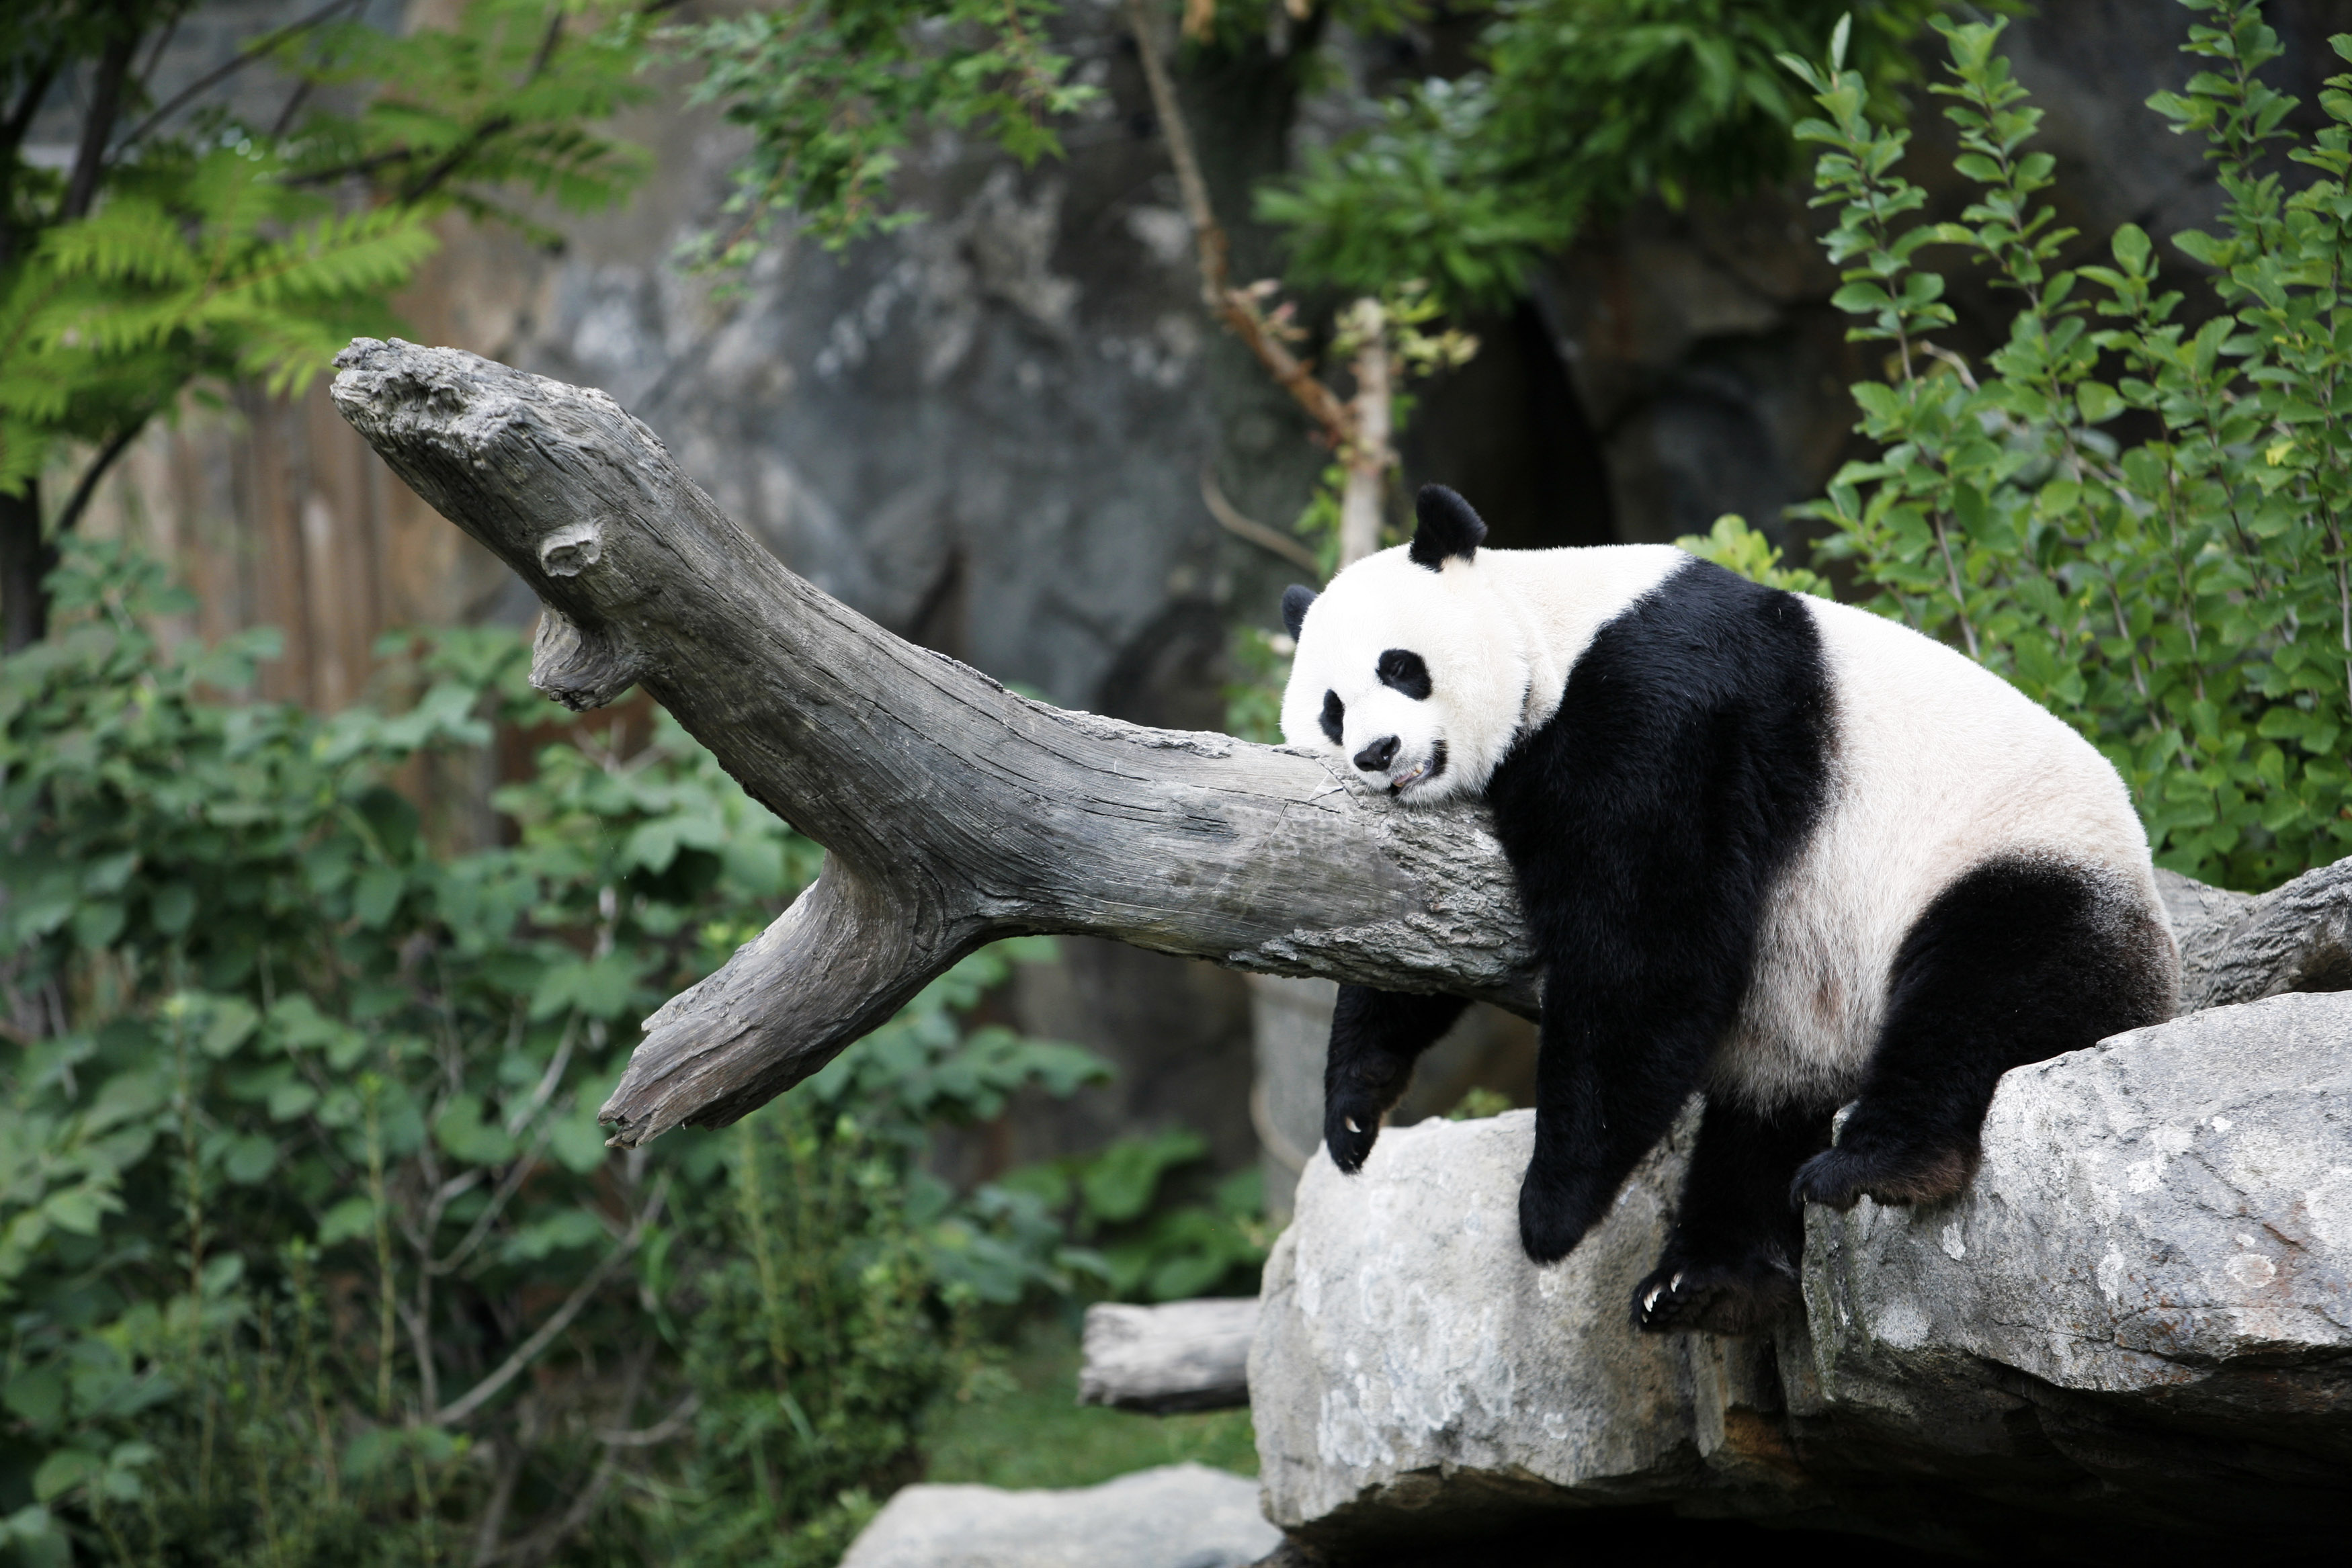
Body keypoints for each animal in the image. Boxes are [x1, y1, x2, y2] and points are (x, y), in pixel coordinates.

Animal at [1279, 484, 2173, 1335]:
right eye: (1330, 709)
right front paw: (1354, 1111)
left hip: (2021, 865)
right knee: (1763, 1117)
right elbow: (1410, 931)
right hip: (1805, 1021)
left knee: (1981, 990)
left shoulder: (1661, 704)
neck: (1552, 627)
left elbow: (1645, 946)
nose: (1376, 754)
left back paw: (1876, 1166)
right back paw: (1707, 1281)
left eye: (1400, 667)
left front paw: (1550, 1211)